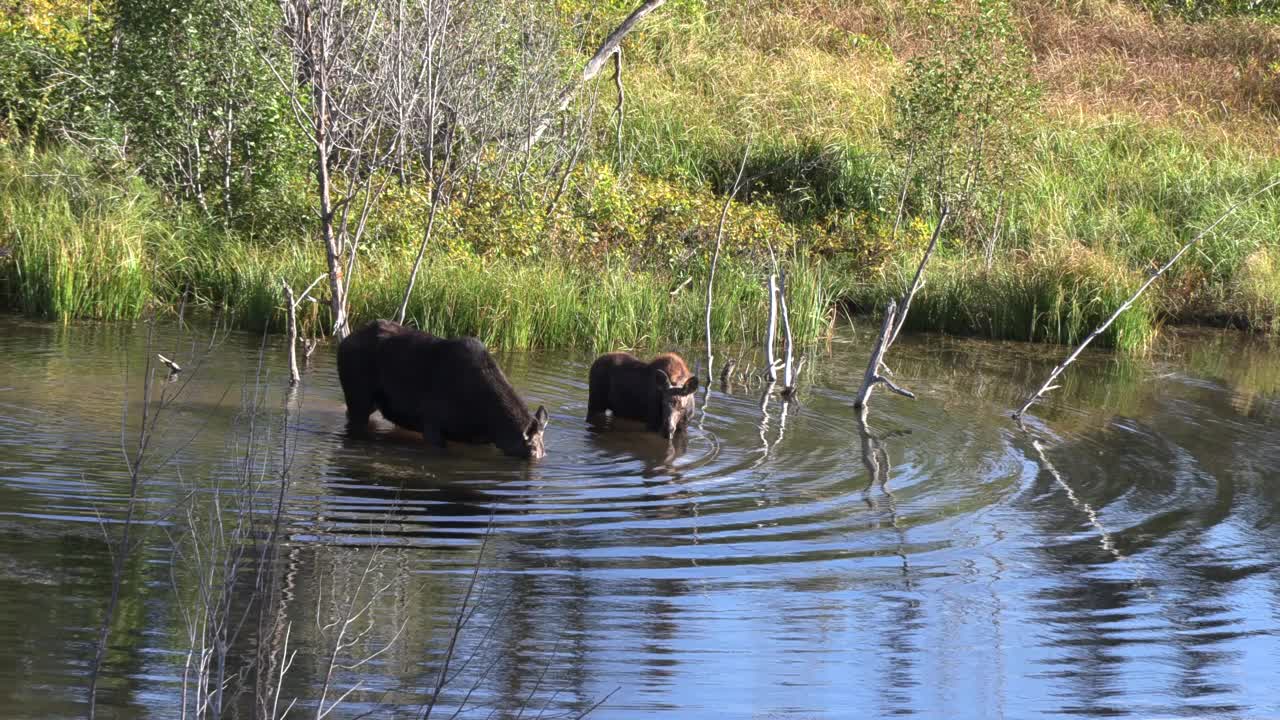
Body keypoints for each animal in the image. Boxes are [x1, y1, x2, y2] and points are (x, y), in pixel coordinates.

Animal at [335, 320, 550, 458]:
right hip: (358, 400)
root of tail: (343, 341)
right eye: (531, 450)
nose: (539, 459)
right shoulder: (432, 426)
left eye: (544, 449)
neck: (488, 422)